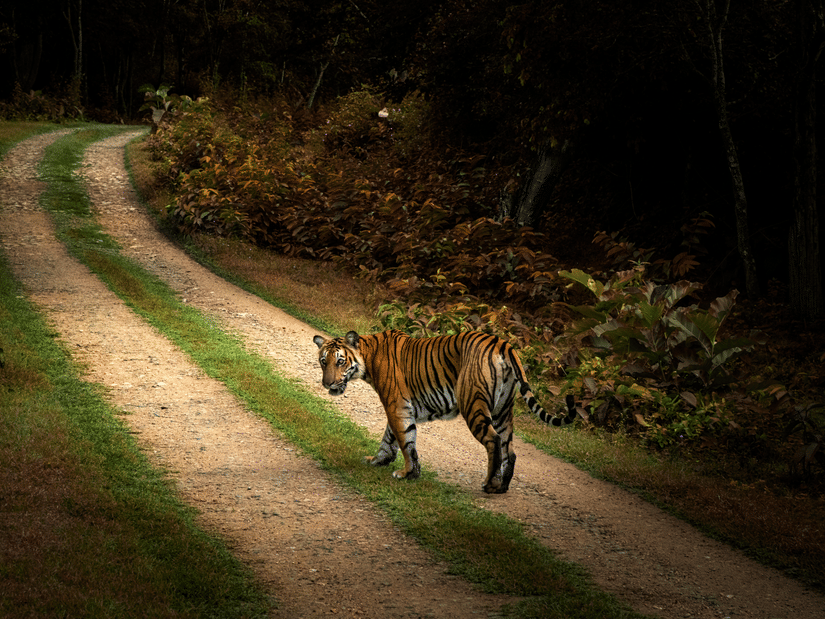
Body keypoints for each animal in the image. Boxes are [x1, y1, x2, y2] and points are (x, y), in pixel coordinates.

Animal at [313, 329, 577, 494]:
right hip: (503, 410)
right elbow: (390, 439)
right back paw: (502, 487)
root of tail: (502, 343)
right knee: (509, 449)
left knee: (493, 440)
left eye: (340, 361)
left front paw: (407, 473)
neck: (369, 356)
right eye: (323, 361)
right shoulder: (399, 407)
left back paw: (489, 485)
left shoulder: (397, 406)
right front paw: (379, 460)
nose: (327, 384)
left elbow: (405, 441)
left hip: (474, 403)